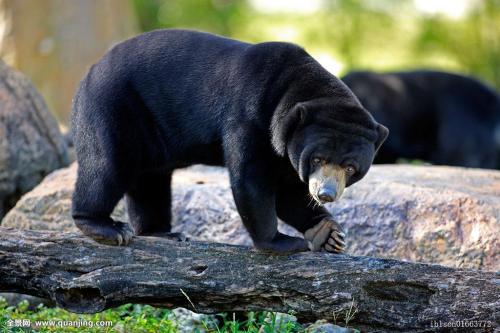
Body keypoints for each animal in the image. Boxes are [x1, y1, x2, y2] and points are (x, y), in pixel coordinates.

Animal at [71, 29, 386, 253]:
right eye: (318, 159)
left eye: (350, 168)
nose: (326, 194)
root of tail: (89, 72)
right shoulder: (250, 116)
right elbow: (252, 179)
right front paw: (283, 242)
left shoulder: (286, 151)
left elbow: (288, 190)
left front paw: (329, 234)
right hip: (113, 105)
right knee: (107, 165)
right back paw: (107, 228)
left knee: (151, 181)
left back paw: (164, 233)